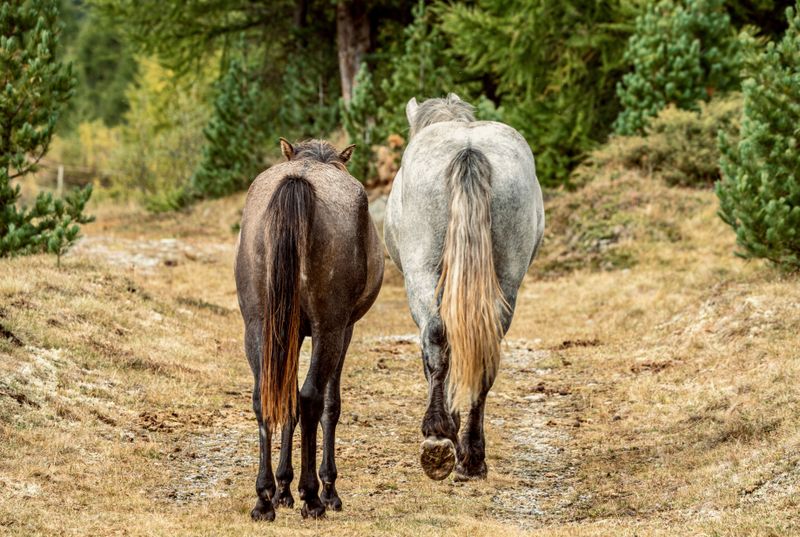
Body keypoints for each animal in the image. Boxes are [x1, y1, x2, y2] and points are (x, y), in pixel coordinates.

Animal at [235, 138, 384, 520]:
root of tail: (298, 181)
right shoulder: (343, 330)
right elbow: (330, 404)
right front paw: (325, 490)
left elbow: (284, 400)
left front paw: (282, 490)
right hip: (329, 329)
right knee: (312, 398)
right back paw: (313, 496)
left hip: (257, 325)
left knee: (264, 397)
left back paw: (264, 498)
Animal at [384, 94, 544, 481]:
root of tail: (468, 149)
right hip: (505, 279)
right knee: (485, 349)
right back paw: (471, 457)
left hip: (421, 273)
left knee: (437, 337)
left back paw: (439, 437)